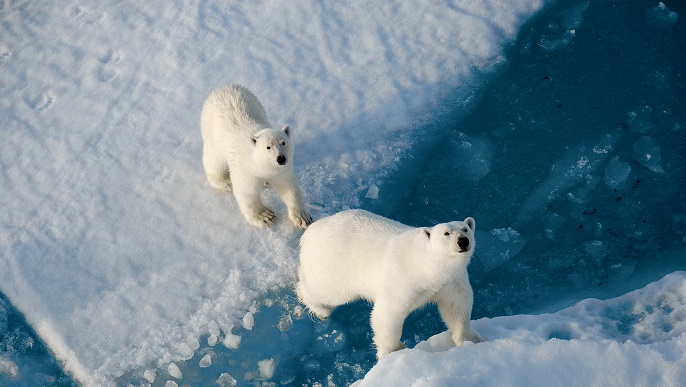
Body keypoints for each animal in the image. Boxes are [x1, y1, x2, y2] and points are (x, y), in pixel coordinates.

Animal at [200, 85, 314, 229]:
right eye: (268, 147)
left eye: (283, 142)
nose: (281, 158)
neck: (258, 164)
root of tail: (223, 87)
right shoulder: (244, 169)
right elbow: (246, 192)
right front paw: (265, 216)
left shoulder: (281, 171)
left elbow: (289, 187)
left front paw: (302, 218)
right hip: (212, 137)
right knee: (214, 163)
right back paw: (224, 183)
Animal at [298, 211, 486, 360]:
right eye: (446, 233)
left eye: (465, 228)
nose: (463, 241)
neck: (427, 265)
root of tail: (309, 233)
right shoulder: (402, 278)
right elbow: (388, 313)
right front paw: (394, 351)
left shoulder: (451, 281)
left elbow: (457, 306)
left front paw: (471, 339)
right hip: (334, 265)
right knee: (327, 291)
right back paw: (320, 308)